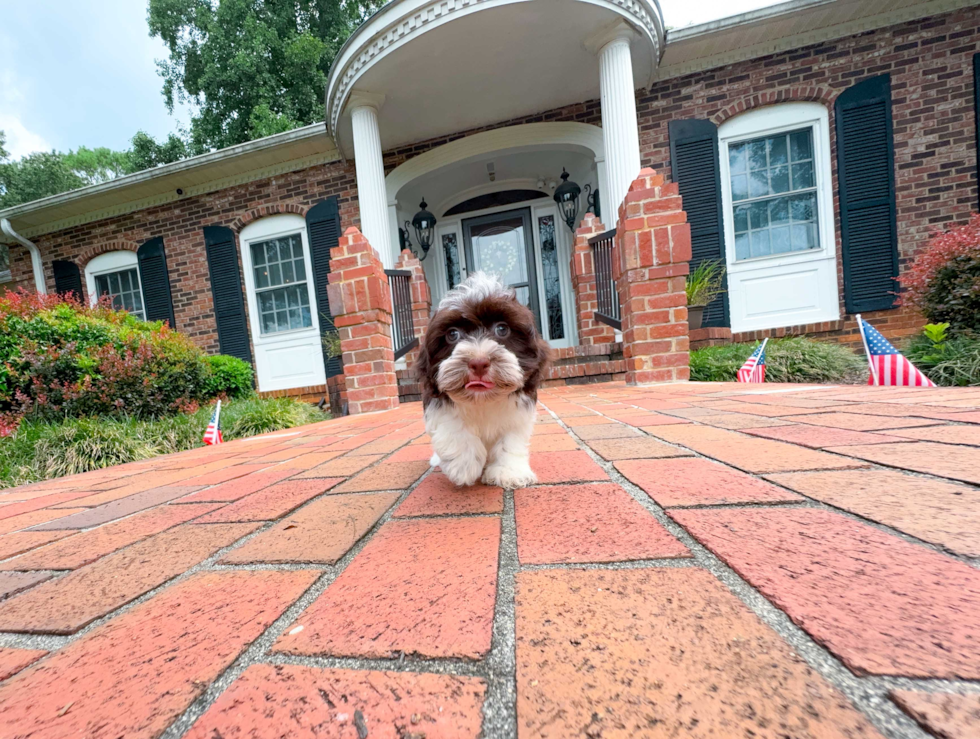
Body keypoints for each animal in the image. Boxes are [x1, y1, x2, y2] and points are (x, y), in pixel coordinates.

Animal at [414, 274, 552, 488]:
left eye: (502, 329)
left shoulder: (519, 413)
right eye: (452, 334)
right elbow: (452, 424)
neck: (482, 398)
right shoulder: (437, 402)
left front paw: (508, 471)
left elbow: (510, 439)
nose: (478, 362)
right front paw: (463, 465)